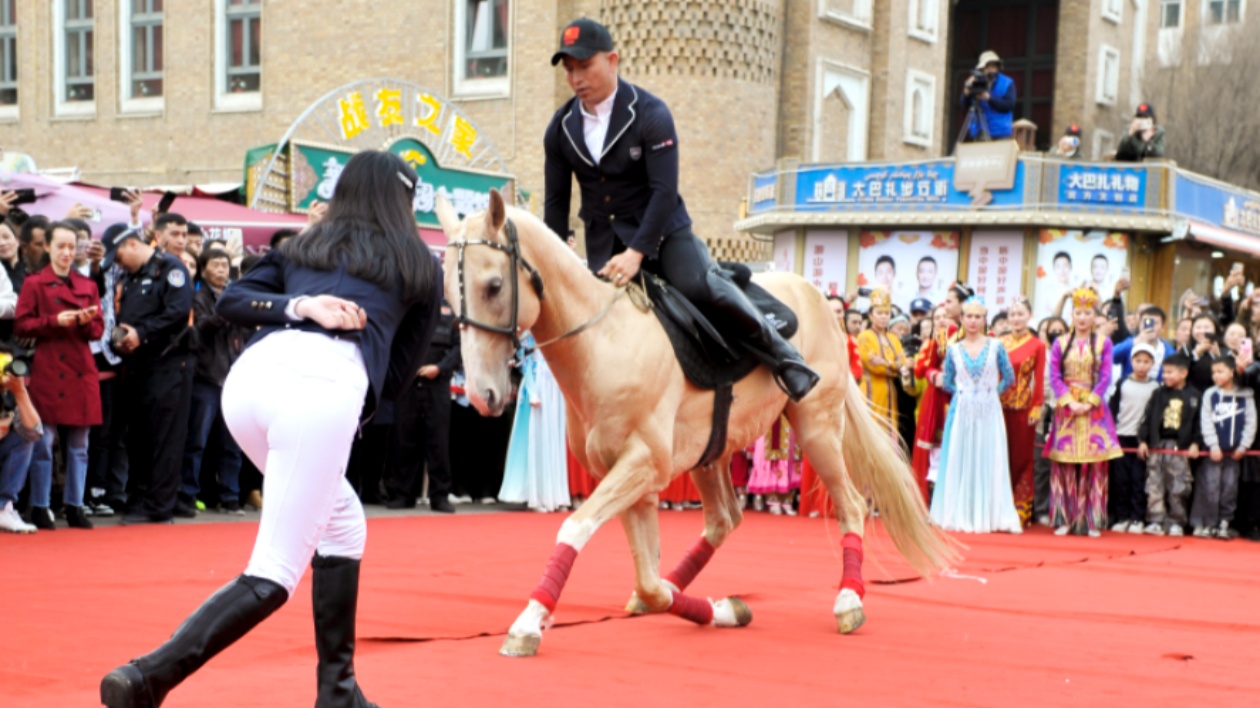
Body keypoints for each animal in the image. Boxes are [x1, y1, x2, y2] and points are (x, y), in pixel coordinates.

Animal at [435, 190, 952, 655]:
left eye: (494, 286)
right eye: (446, 296)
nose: (482, 395)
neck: (603, 341)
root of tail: (815, 295)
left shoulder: (643, 463)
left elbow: (574, 529)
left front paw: (528, 622)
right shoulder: (628, 476)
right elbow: (647, 582)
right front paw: (716, 607)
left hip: (817, 426)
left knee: (850, 504)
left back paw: (848, 599)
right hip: (713, 449)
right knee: (724, 521)